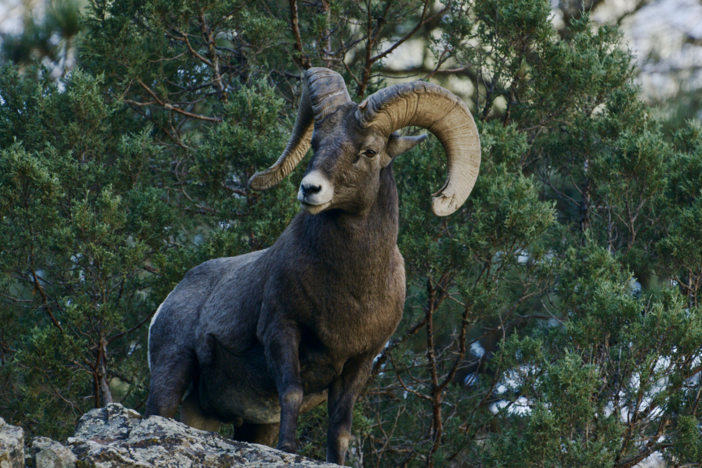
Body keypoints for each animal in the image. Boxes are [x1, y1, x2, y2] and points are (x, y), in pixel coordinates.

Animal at [146, 66, 482, 464]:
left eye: (369, 151)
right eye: (316, 143)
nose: (310, 189)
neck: (350, 292)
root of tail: (172, 296)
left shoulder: (360, 361)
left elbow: (341, 424)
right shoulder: (282, 331)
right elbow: (291, 392)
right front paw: (288, 451)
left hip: (222, 415)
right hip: (171, 372)